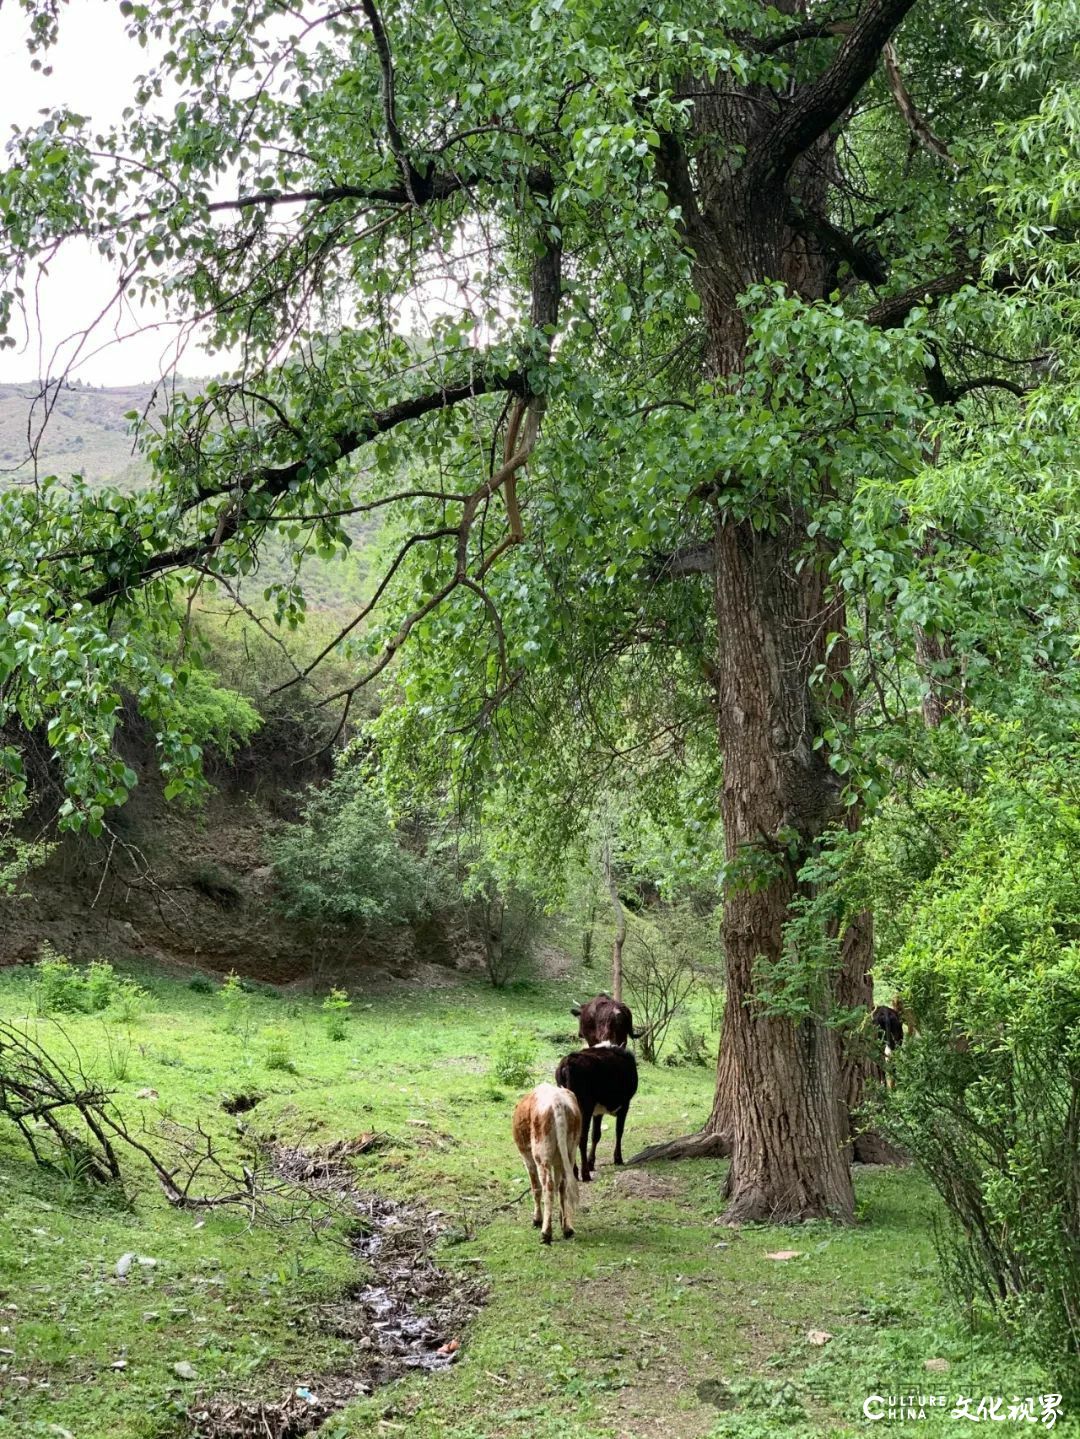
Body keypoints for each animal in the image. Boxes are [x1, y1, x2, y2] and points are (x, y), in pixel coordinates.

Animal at [511, 1082, 583, 1243]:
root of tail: (557, 1101)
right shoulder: (558, 1162)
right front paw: (561, 1220)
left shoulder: (528, 1159)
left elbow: (535, 1188)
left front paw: (537, 1220)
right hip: (570, 1152)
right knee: (563, 1185)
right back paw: (567, 1228)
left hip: (541, 1155)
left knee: (548, 1187)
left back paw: (546, 1232)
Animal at [552, 1047, 638, 1179]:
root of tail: (568, 1061)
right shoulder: (625, 1105)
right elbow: (619, 1131)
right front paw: (618, 1158)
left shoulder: (598, 1112)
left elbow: (596, 1135)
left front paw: (591, 1162)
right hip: (585, 1108)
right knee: (581, 1138)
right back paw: (584, 1173)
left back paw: (574, 1171)